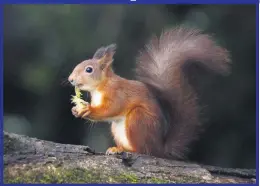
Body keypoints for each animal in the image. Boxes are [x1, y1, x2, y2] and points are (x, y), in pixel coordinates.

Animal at [68, 26, 231, 160]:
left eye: (89, 69)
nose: (70, 79)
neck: (100, 86)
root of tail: (159, 149)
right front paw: (75, 110)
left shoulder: (117, 93)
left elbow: (111, 109)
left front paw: (87, 109)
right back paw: (118, 148)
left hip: (138, 119)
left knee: (143, 151)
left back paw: (125, 150)